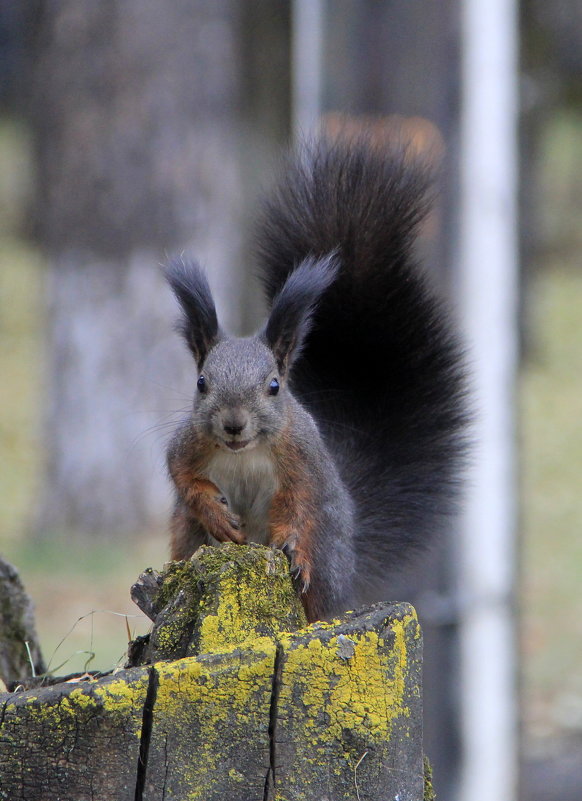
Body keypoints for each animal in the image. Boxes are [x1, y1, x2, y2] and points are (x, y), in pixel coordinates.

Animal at [164, 134, 470, 620]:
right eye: (201, 383)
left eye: (274, 386)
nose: (233, 425)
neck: (244, 454)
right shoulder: (187, 443)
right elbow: (182, 477)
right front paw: (215, 512)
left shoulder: (303, 460)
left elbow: (299, 507)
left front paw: (292, 548)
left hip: (329, 564)